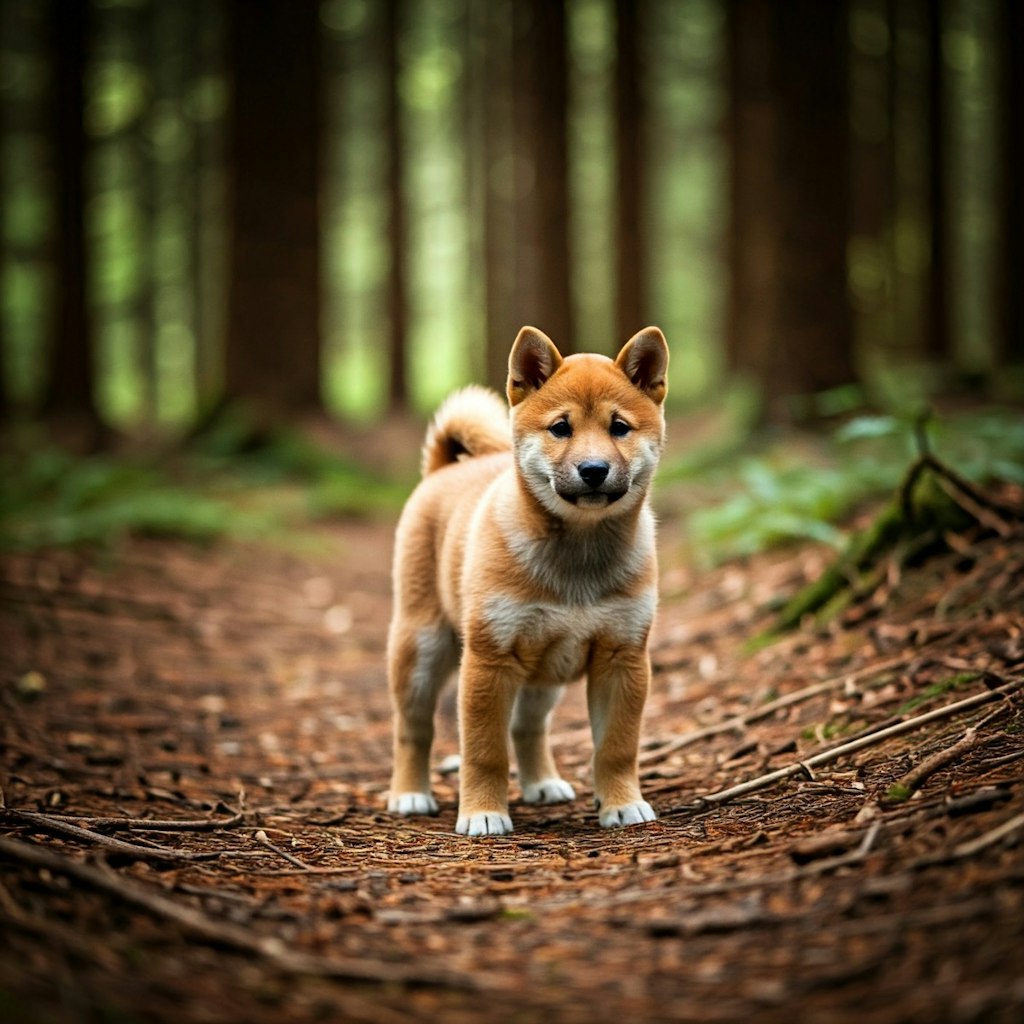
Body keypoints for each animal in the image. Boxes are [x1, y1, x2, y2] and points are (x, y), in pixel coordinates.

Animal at [387, 325, 667, 831]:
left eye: (619, 427)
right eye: (561, 428)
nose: (593, 470)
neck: (578, 554)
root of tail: (443, 469)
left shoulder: (623, 659)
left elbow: (616, 747)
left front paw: (622, 803)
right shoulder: (489, 661)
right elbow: (484, 751)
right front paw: (483, 813)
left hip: (543, 674)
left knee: (527, 727)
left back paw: (542, 783)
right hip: (421, 649)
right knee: (412, 729)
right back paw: (410, 794)